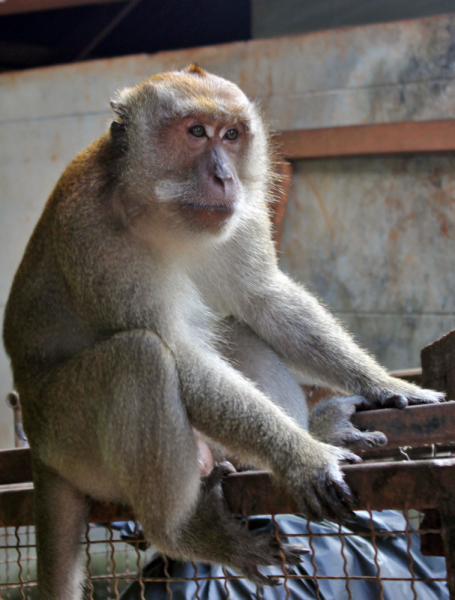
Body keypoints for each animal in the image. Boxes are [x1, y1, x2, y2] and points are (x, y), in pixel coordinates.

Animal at [2, 63, 446, 596]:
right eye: (196, 132)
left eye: (231, 135)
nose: (224, 176)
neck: (151, 208)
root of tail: (37, 446)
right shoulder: (95, 237)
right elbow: (179, 355)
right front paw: (303, 458)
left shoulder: (245, 212)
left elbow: (263, 299)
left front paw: (383, 385)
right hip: (68, 438)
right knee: (139, 358)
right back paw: (186, 532)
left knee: (235, 330)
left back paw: (318, 431)